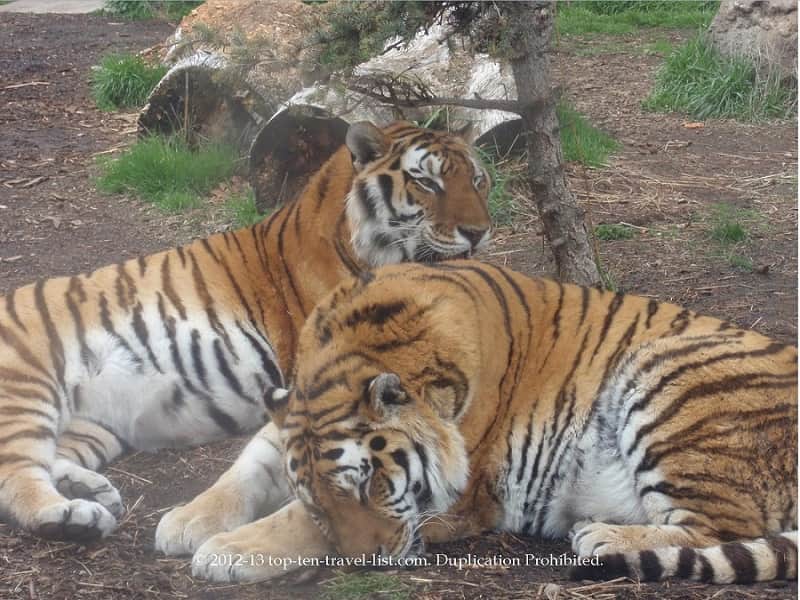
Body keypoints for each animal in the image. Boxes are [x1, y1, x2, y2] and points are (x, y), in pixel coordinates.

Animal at [0, 122, 492, 541]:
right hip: (25, 390)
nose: (479, 232)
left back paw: (89, 491)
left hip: (92, 423)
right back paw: (70, 517)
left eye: (478, 181)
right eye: (427, 182)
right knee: (15, 474)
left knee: (54, 458)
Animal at [184, 260, 796, 585]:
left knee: (719, 530)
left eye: (372, 484)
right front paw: (186, 521)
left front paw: (226, 550)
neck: (351, 353)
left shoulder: (455, 500)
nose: (367, 564)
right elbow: (249, 469)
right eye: (317, 496)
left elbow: (293, 524)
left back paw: (600, 535)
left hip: (667, 377)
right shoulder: (286, 415)